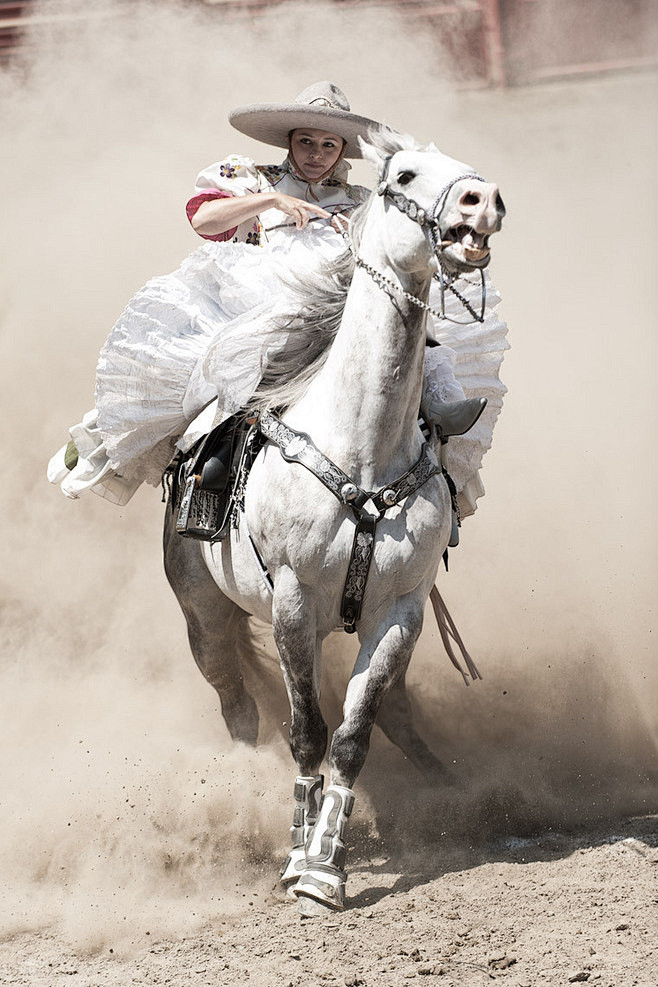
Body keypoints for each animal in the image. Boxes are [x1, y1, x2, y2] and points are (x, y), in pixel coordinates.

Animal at [163, 127, 502, 916]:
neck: (363, 450)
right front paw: (298, 856)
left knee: (394, 711)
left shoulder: (400, 609)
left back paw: (451, 785)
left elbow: (351, 733)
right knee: (239, 707)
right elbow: (307, 733)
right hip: (205, 618)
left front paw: (327, 865)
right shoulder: (291, 601)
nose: (483, 201)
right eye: (403, 174)